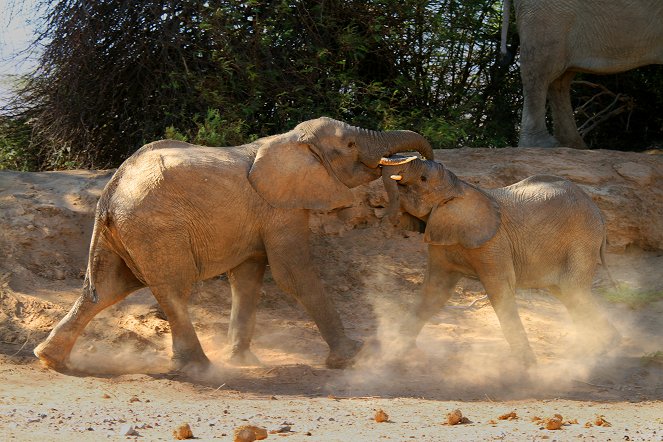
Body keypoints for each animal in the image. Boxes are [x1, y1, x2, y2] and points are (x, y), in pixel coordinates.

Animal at [33, 117, 434, 372]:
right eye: (350, 145)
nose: (406, 172)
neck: (290, 139)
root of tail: (111, 190)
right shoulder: (280, 208)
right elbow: (293, 275)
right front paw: (351, 359)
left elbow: (247, 279)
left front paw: (243, 361)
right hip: (157, 230)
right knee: (172, 290)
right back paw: (198, 369)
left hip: (122, 233)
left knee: (104, 289)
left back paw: (50, 359)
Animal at [382, 156, 620, 366]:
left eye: (423, 179)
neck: (459, 186)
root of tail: (599, 214)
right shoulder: (442, 239)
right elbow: (435, 291)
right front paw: (395, 354)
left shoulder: (494, 242)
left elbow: (500, 290)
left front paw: (527, 367)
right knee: (567, 294)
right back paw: (599, 347)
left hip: (583, 240)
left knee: (573, 291)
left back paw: (596, 351)